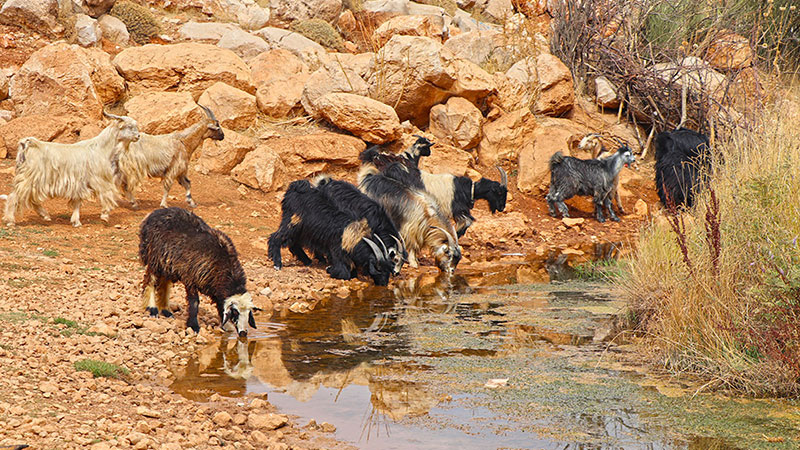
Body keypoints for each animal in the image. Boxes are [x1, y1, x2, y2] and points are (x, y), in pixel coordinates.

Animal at [138, 206, 256, 336]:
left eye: (249, 312)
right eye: (235, 312)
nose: (243, 333)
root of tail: (155, 213)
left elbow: (220, 305)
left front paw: (226, 326)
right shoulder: (190, 278)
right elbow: (194, 303)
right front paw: (194, 326)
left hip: (168, 262)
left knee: (164, 283)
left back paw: (165, 310)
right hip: (154, 256)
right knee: (150, 280)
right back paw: (152, 309)